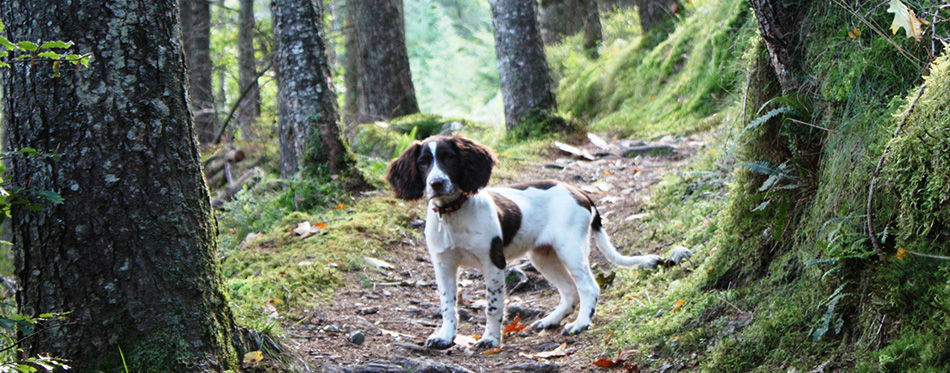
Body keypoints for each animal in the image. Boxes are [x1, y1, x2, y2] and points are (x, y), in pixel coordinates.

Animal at [386, 134, 660, 348]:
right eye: (423, 163)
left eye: (449, 158)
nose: (436, 183)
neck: (453, 213)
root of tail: (580, 192)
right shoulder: (443, 266)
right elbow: (447, 305)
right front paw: (445, 337)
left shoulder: (493, 263)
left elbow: (493, 306)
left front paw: (491, 340)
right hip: (543, 256)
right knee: (570, 291)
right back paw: (550, 320)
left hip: (570, 249)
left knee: (588, 288)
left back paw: (580, 324)